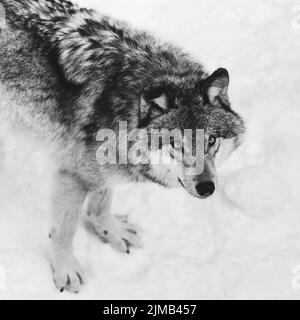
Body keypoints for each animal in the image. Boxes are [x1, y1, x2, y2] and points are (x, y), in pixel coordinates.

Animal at [0, 0, 244, 292]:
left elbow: (101, 203)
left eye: (211, 140)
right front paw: (66, 269)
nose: (207, 187)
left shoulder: (105, 166)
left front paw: (110, 231)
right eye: (175, 143)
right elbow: (64, 230)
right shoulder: (72, 174)